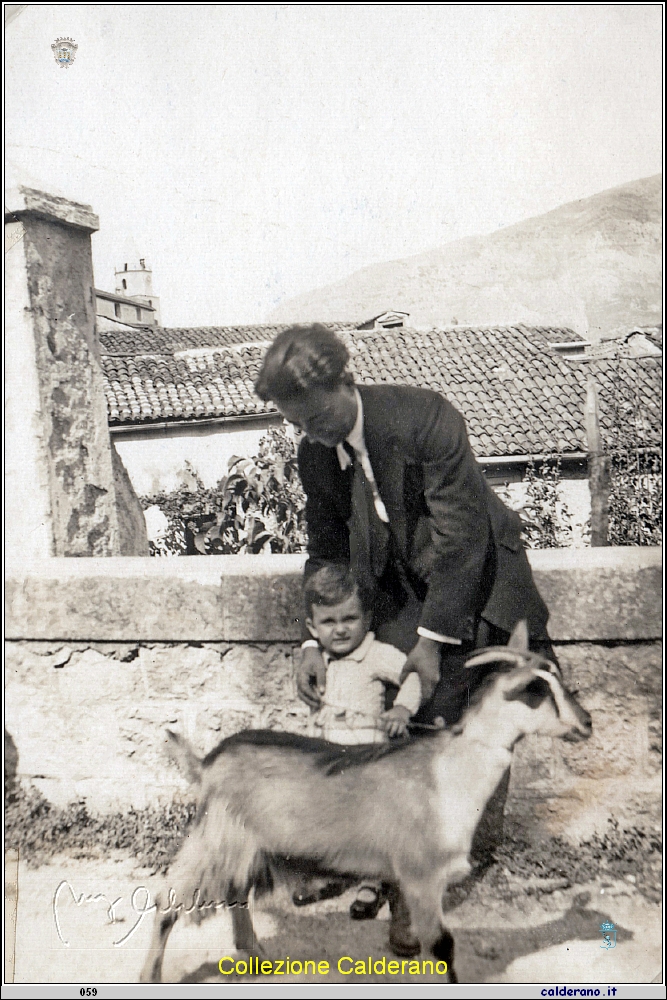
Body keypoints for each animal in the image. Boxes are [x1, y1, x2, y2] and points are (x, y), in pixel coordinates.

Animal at [140, 624, 588, 984]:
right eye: (535, 691)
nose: (586, 724)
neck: (447, 772)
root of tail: (207, 762)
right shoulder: (423, 873)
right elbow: (442, 946)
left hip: (247, 845)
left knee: (237, 894)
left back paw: (258, 957)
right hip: (214, 838)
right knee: (167, 900)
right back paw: (152, 976)